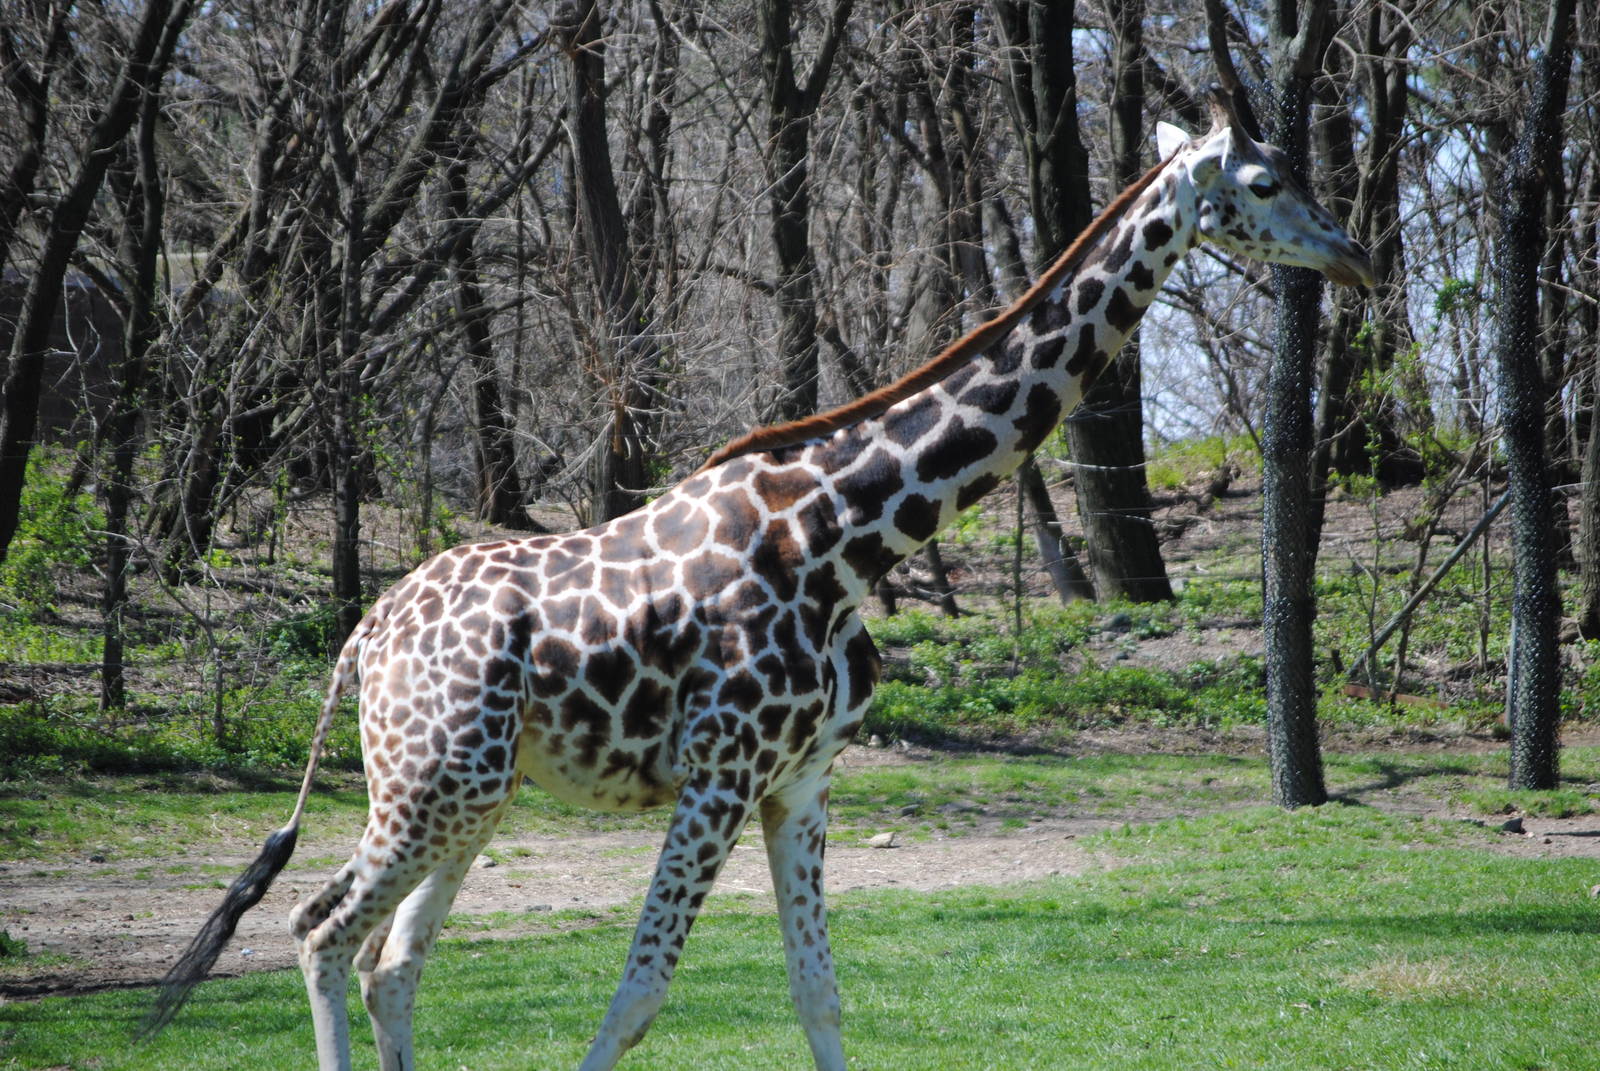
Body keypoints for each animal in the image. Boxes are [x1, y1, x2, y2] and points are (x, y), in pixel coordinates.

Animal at [149, 89, 1372, 1070]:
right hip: (424, 787)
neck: (845, 534)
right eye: (1266, 180)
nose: (1356, 253)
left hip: (469, 796)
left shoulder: (802, 781)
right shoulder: (720, 774)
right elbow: (638, 993)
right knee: (320, 933)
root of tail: (365, 637)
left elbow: (818, 992)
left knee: (388, 962)